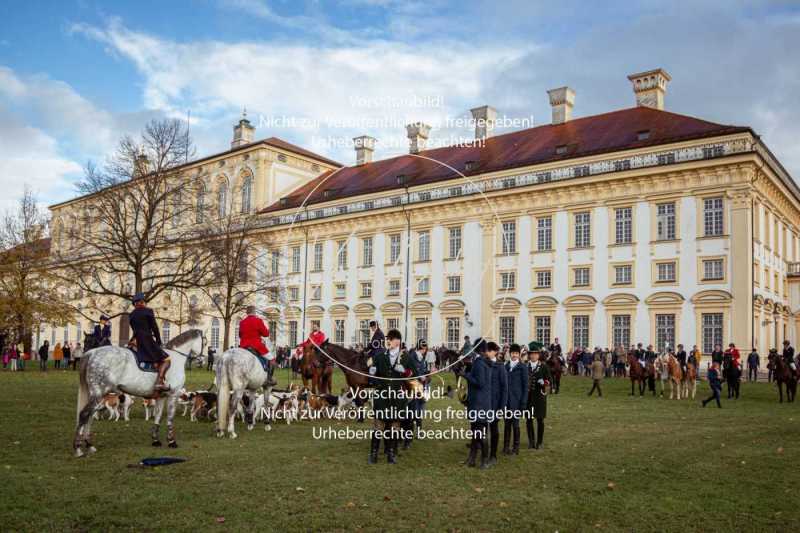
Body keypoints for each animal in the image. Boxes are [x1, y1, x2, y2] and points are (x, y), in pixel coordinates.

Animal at [73, 328, 203, 458]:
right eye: (204, 341)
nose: (202, 360)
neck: (176, 357)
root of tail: (92, 353)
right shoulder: (173, 395)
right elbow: (170, 419)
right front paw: (171, 441)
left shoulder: (161, 397)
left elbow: (158, 417)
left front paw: (156, 440)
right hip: (98, 394)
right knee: (84, 415)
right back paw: (78, 449)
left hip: (96, 395)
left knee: (89, 416)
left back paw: (89, 445)